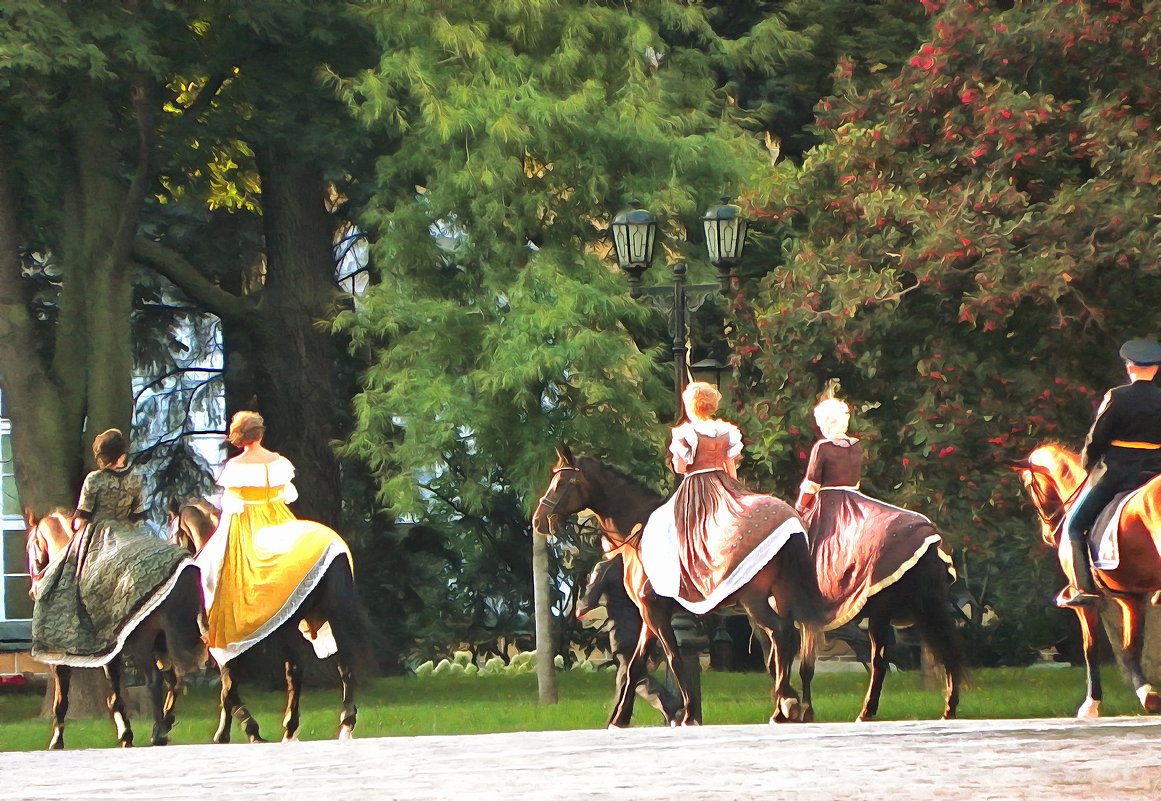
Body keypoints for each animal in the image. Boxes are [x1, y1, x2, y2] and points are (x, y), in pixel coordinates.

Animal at [26, 510, 205, 747]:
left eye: (30, 545)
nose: (33, 589)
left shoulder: (60, 658)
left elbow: (61, 699)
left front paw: (56, 740)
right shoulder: (111, 650)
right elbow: (115, 691)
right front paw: (126, 733)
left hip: (143, 642)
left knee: (155, 680)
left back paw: (159, 733)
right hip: (166, 641)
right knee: (175, 678)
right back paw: (165, 723)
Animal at [168, 499, 362, 742]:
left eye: (172, 533)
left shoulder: (224, 646)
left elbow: (227, 688)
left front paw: (231, 733)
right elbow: (231, 686)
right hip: (317, 618)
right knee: (337, 666)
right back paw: (325, 725)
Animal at [531, 445, 821, 729]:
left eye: (562, 483)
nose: (538, 520)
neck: (640, 532)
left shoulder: (654, 612)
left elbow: (674, 659)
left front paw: (688, 713)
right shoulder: (648, 615)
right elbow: (635, 666)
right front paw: (621, 718)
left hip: (755, 601)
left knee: (781, 633)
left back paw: (786, 705)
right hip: (780, 596)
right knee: (789, 639)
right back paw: (791, 706)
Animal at [1007, 445, 1161, 715]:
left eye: (1028, 484)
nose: (1048, 534)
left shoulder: (1086, 604)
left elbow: (1091, 649)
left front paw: (1091, 703)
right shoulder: (1130, 598)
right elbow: (1131, 648)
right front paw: (1147, 694)